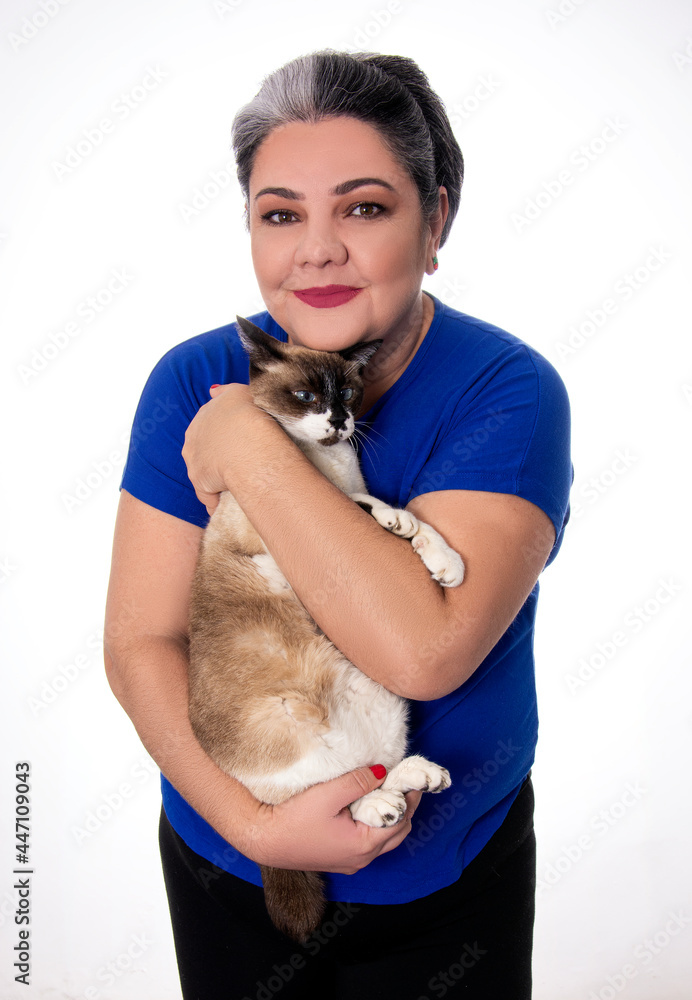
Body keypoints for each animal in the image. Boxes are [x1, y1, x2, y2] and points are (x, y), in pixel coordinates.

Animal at [188, 315, 465, 943]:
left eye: (347, 394)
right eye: (305, 396)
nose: (338, 422)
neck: (327, 467)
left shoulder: (349, 503)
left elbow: (408, 520)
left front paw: (447, 564)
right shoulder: (278, 534)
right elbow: (374, 509)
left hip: (380, 694)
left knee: (373, 770)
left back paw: (416, 779)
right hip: (288, 730)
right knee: (322, 800)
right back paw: (379, 807)